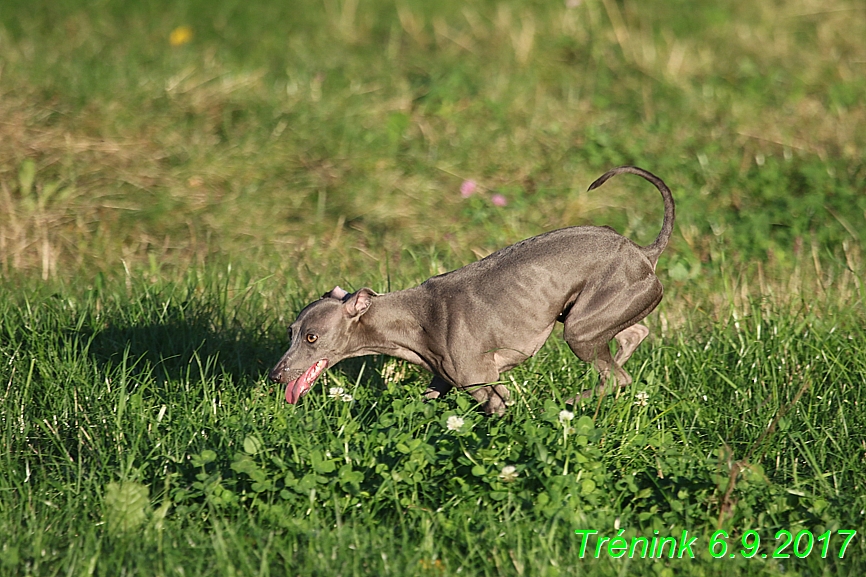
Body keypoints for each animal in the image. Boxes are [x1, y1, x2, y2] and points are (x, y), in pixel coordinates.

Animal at [266, 165, 672, 414]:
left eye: (313, 337)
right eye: (291, 332)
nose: (275, 376)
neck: (410, 319)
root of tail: (643, 252)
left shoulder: (485, 384)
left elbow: (500, 406)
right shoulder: (442, 382)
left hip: (579, 330)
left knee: (617, 377)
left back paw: (572, 401)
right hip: (596, 316)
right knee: (633, 336)